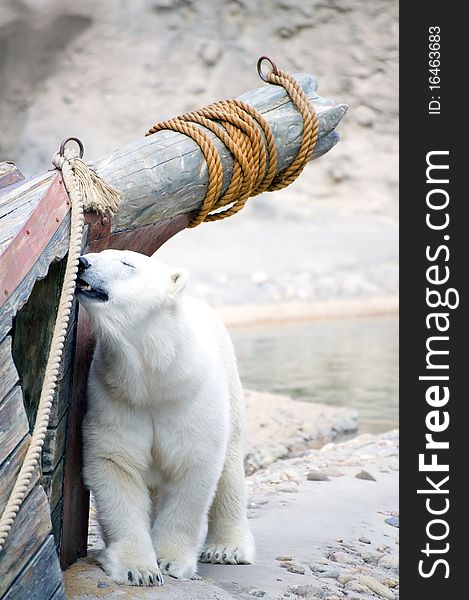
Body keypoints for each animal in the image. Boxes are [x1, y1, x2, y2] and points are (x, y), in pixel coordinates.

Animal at [75, 248, 254, 584]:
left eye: (127, 263)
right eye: (100, 253)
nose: (83, 262)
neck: (156, 374)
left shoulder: (190, 397)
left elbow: (192, 467)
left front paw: (170, 561)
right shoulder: (116, 395)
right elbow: (118, 463)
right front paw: (138, 569)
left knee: (230, 465)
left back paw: (227, 549)